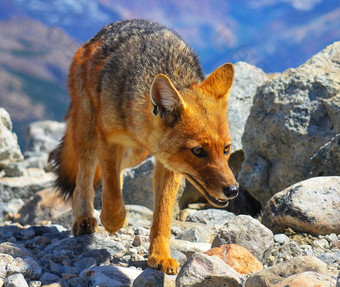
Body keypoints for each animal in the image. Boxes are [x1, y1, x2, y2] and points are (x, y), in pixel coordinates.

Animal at [52, 19, 239, 276]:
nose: (233, 190)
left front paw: (159, 256)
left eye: (226, 149)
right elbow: (111, 189)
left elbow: (162, 215)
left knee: (117, 172)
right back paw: (85, 218)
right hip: (89, 133)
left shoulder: (168, 166)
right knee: (85, 177)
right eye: (198, 151)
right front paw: (112, 220)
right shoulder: (108, 139)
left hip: (137, 154)